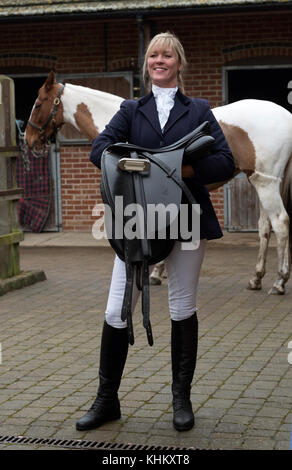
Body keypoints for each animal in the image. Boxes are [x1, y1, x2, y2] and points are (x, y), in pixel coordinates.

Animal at [25, 70, 292, 294]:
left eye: (38, 103)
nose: (29, 140)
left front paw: (155, 271)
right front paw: (158, 270)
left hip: (266, 183)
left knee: (281, 224)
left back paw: (279, 282)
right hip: (261, 182)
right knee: (265, 228)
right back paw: (256, 278)